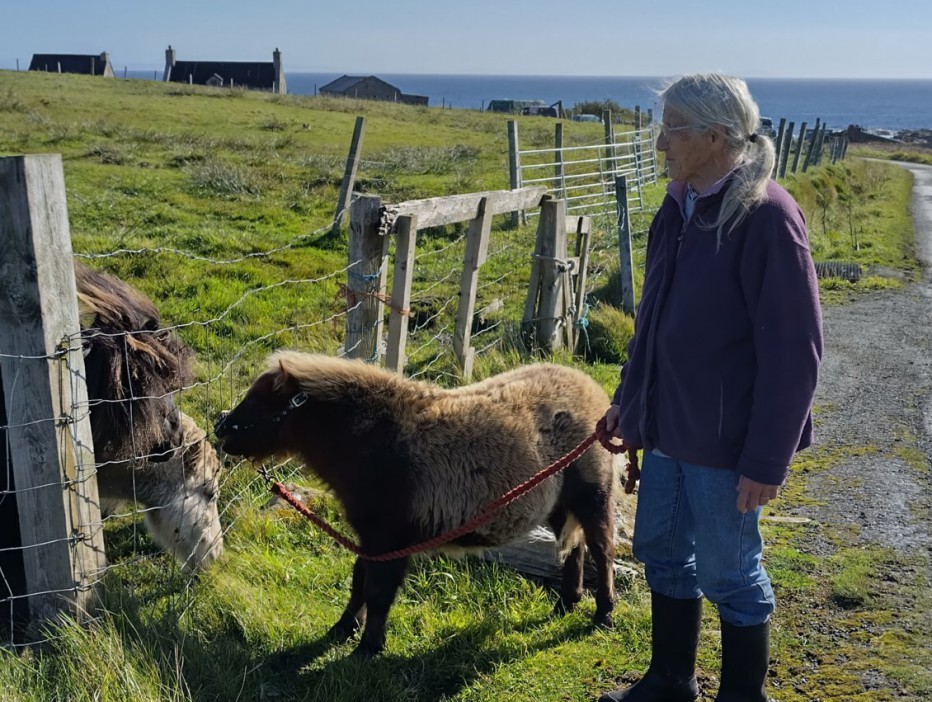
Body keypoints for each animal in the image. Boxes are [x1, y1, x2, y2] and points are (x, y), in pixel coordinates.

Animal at [215, 352, 628, 660]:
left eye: (259, 401)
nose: (221, 429)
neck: (373, 438)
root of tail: (594, 392)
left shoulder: (390, 538)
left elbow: (378, 590)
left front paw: (367, 648)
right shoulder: (372, 538)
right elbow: (359, 580)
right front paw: (342, 629)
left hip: (594, 495)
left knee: (601, 549)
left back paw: (603, 614)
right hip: (558, 503)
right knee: (574, 548)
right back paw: (567, 603)